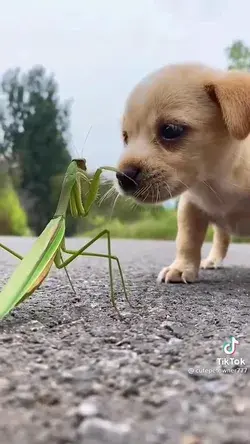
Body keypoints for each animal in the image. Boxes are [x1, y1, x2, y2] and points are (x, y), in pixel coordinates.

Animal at [115, 61, 250, 284]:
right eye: (126, 137)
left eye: (170, 130)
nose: (122, 177)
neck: (217, 180)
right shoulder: (190, 206)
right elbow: (187, 240)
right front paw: (180, 268)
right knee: (222, 238)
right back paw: (212, 260)